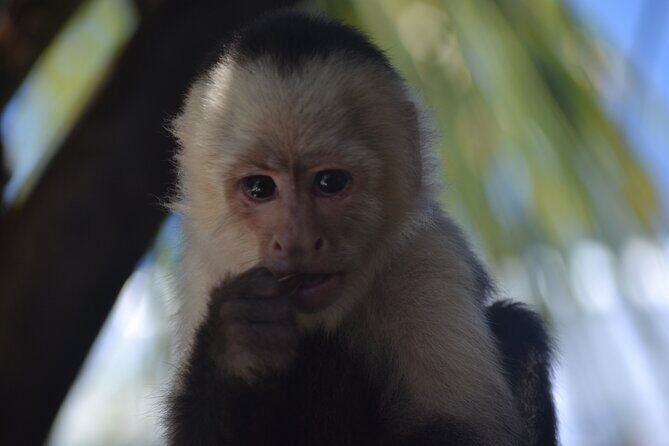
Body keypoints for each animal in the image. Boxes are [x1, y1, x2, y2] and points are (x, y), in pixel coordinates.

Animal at [166, 11, 557, 446]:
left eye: (330, 182)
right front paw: (235, 345)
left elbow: (463, 427)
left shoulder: (426, 255)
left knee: (517, 325)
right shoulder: (208, 263)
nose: (298, 241)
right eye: (259, 188)